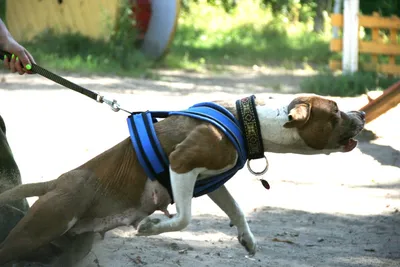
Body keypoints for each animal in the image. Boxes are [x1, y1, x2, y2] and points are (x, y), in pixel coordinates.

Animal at [0, 94, 366, 266]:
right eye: (335, 111)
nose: (362, 113)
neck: (253, 123)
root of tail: (55, 183)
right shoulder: (181, 163)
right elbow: (185, 217)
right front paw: (151, 227)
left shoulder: (213, 181)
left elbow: (236, 210)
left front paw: (246, 239)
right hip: (43, 225)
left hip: (69, 239)